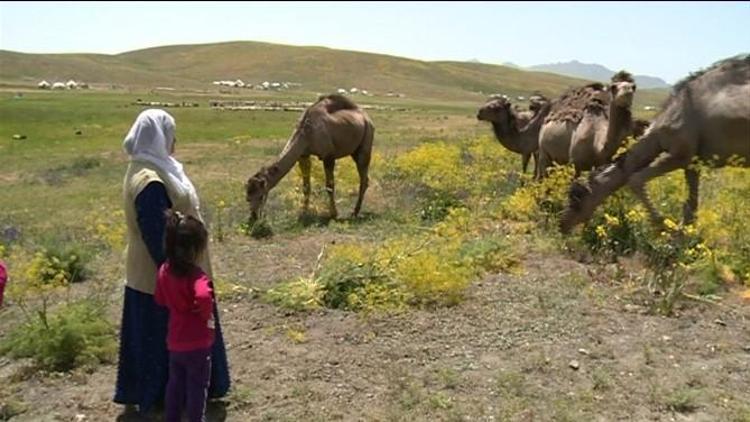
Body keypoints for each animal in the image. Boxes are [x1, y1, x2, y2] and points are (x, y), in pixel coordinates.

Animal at [247, 94, 376, 221]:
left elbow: (330, 186)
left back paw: (355, 212)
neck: (307, 133)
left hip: (366, 140)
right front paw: (304, 212)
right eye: (247, 197)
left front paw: (334, 214)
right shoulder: (303, 155)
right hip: (354, 150)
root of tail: (367, 118)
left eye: (261, 196)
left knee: (364, 178)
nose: (253, 216)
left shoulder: (328, 156)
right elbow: (306, 186)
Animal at [564, 55, 750, 234]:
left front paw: (667, 228)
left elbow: (635, 179)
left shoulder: (679, 154)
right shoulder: (693, 161)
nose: (562, 224)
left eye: (577, 199)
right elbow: (691, 203)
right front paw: (686, 236)